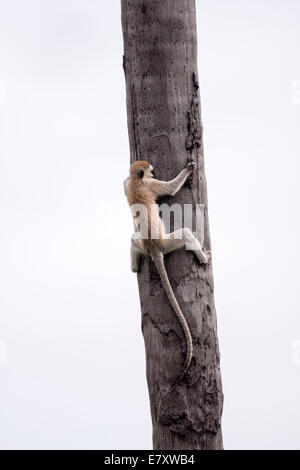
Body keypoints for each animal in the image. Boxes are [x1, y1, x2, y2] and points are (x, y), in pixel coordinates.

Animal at [123, 160, 210, 388]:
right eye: (150, 170)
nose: (154, 171)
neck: (138, 181)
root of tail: (154, 249)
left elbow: (124, 186)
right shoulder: (151, 185)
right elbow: (170, 189)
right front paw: (188, 169)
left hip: (144, 245)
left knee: (133, 239)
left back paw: (134, 266)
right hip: (167, 243)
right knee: (186, 233)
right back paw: (203, 257)